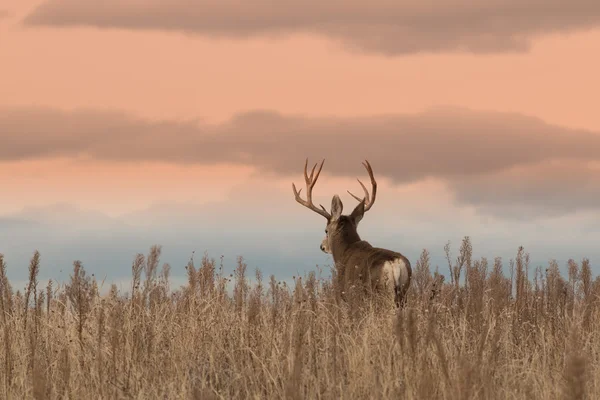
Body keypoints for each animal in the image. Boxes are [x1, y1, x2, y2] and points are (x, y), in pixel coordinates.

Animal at [292, 158, 412, 308]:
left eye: (326, 230)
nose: (322, 246)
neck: (343, 252)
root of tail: (395, 263)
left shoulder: (346, 293)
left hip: (382, 292)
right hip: (404, 291)